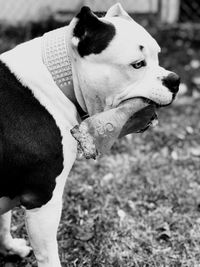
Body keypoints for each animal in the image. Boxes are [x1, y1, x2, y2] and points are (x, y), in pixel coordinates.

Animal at [0, 3, 180, 266]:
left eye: (157, 54)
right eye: (137, 64)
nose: (175, 80)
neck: (57, 79)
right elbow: (48, 254)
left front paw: (9, 247)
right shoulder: (44, 202)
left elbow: (3, 222)